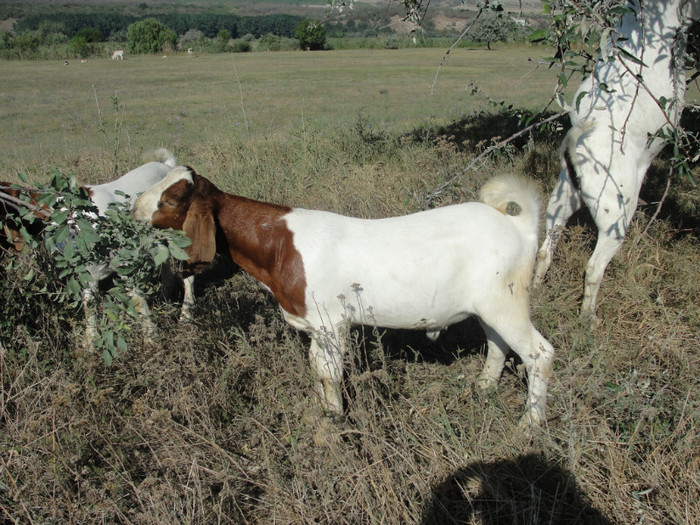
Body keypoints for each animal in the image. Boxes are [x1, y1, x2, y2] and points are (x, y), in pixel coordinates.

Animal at [134, 168, 556, 426]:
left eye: (171, 200)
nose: (135, 205)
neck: (280, 247)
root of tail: (517, 224)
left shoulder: (330, 322)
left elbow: (330, 372)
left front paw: (335, 422)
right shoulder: (315, 326)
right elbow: (319, 369)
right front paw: (326, 415)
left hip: (506, 301)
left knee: (539, 353)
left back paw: (529, 424)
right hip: (490, 306)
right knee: (498, 343)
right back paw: (482, 389)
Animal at [532, 0, 696, 318]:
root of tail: (580, 141)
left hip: (560, 202)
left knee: (545, 250)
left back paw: (534, 289)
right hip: (615, 220)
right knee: (594, 268)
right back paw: (589, 318)